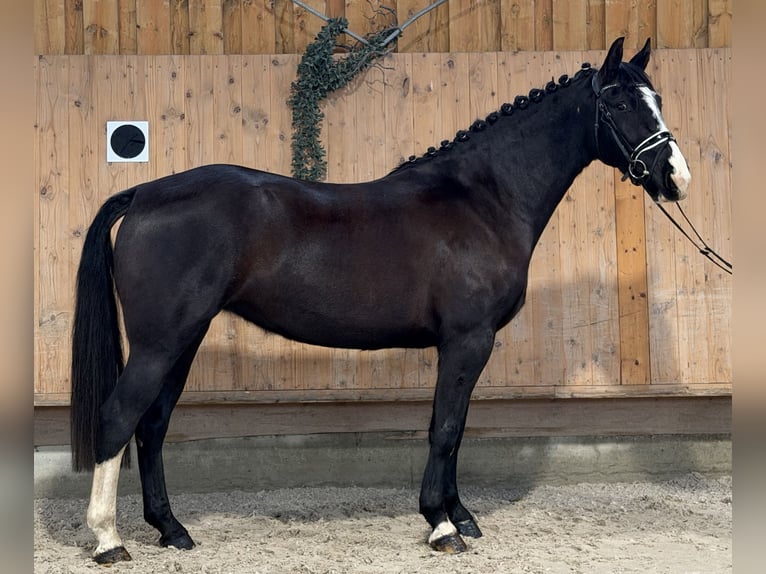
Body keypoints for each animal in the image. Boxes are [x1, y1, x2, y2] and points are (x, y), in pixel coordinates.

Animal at [70, 37, 690, 564]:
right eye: (620, 102)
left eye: (657, 99)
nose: (675, 176)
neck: (482, 200)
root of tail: (144, 193)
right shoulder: (467, 340)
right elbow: (445, 427)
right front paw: (441, 526)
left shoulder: (463, 346)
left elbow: (454, 426)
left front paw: (461, 516)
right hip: (160, 342)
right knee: (119, 417)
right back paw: (108, 540)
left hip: (184, 339)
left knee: (152, 425)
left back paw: (171, 530)